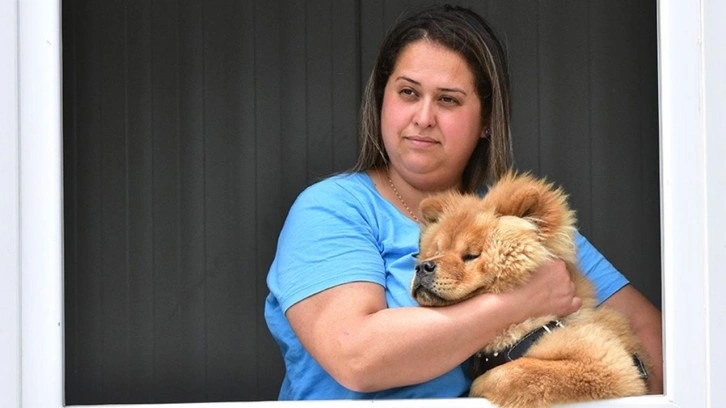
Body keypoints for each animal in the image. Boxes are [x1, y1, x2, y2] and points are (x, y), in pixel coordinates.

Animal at [412, 172, 652, 408]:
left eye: (471, 255)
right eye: (436, 252)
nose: (423, 267)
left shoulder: (609, 364)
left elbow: (514, 371)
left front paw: (478, 387)